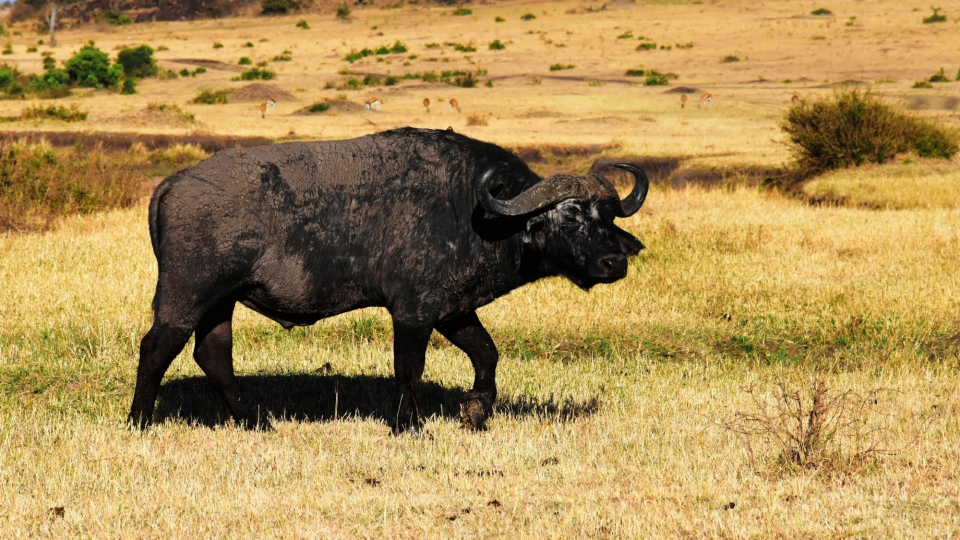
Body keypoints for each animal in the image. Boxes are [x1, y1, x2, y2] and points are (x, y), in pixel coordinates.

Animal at [127, 126, 648, 434]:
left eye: (607, 216)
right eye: (570, 217)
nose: (613, 263)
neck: (479, 213)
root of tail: (174, 183)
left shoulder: (455, 311)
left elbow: (487, 354)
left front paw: (476, 411)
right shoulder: (413, 312)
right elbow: (409, 368)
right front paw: (409, 425)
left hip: (221, 302)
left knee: (213, 355)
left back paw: (258, 422)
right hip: (187, 295)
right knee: (157, 347)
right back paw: (140, 420)